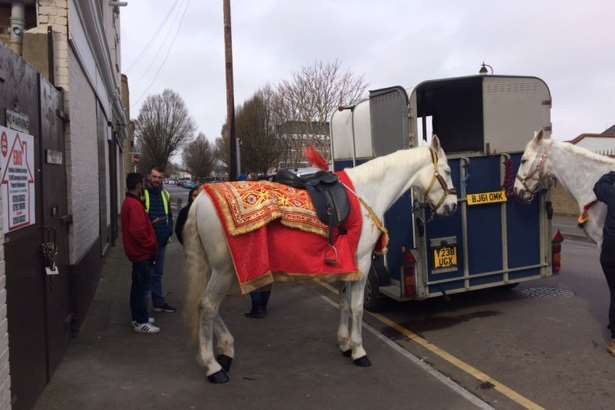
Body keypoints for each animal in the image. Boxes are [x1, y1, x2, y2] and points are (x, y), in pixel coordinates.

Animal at [182, 136, 458, 382]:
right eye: (446, 170)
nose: (453, 205)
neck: (368, 191)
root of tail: (202, 198)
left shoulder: (347, 266)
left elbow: (345, 303)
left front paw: (345, 344)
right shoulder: (362, 263)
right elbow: (357, 307)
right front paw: (359, 351)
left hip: (219, 270)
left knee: (205, 305)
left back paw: (226, 349)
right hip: (224, 270)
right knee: (207, 306)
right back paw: (213, 366)